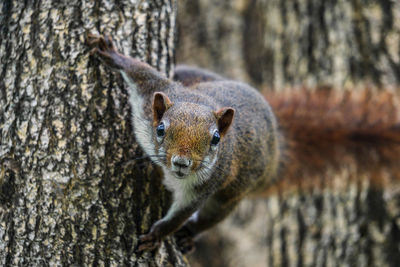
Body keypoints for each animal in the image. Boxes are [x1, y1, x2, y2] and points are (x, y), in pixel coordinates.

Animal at [86, 33, 400, 253]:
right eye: (161, 129)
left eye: (215, 139)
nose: (182, 163)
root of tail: (277, 145)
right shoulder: (154, 91)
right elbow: (141, 71)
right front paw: (112, 55)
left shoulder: (206, 184)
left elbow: (181, 213)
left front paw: (157, 235)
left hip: (235, 191)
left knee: (213, 215)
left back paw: (190, 234)